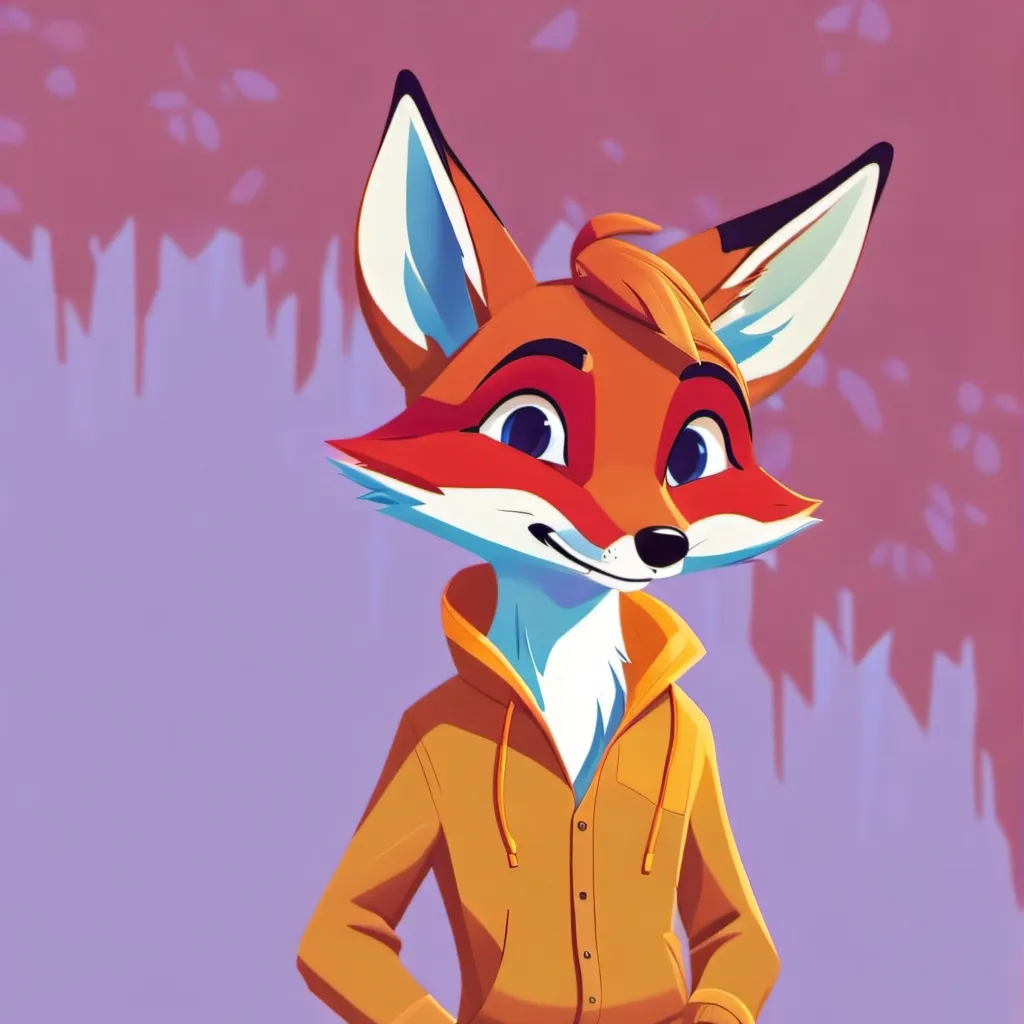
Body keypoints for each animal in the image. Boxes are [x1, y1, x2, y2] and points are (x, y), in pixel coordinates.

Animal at [298, 70, 892, 1024]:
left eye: (694, 453)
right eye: (529, 429)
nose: (662, 541)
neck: (568, 664)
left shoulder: (699, 753)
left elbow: (736, 926)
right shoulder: (417, 740)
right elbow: (344, 924)